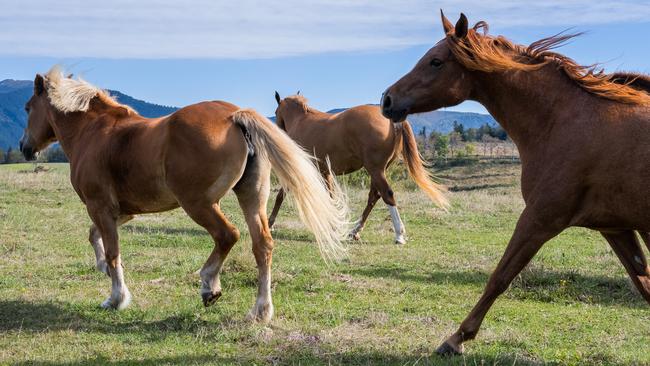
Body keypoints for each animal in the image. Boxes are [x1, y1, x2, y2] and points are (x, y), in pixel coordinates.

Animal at [17, 67, 346, 322]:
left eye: (27, 108)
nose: (24, 147)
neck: (94, 132)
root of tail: (234, 116)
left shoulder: (100, 207)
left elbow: (113, 252)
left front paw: (116, 298)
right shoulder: (122, 211)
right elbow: (94, 236)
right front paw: (102, 269)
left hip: (199, 204)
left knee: (228, 235)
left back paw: (209, 285)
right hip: (251, 198)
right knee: (262, 245)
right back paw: (260, 311)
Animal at [268, 93, 446, 244]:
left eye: (276, 111)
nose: (277, 130)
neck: (301, 121)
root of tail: (391, 120)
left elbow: (280, 196)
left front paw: (270, 223)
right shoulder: (326, 173)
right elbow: (331, 197)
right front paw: (335, 225)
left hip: (375, 169)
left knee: (387, 195)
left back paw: (399, 234)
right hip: (378, 170)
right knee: (374, 196)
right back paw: (355, 231)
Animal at [380, 11, 648, 354]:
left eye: (435, 61)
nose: (387, 99)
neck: (561, 121)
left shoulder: (540, 218)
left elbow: (501, 276)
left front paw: (457, 338)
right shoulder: (616, 227)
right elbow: (643, 283)